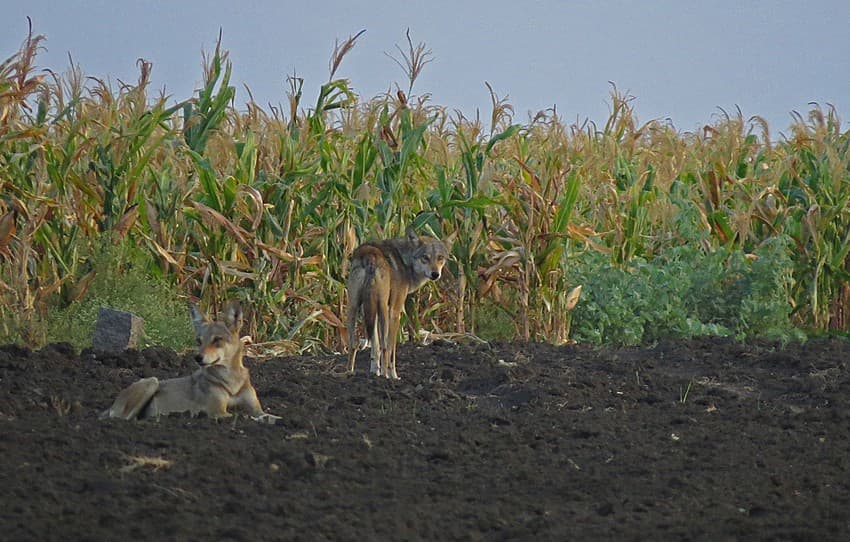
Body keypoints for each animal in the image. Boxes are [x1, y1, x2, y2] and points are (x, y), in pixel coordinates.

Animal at [100, 302, 278, 424]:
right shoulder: (217, 411)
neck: (231, 381)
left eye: (217, 340)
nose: (197, 358)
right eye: (199, 341)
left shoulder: (255, 408)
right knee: (124, 418)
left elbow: (267, 415)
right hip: (152, 382)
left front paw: (272, 419)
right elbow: (242, 416)